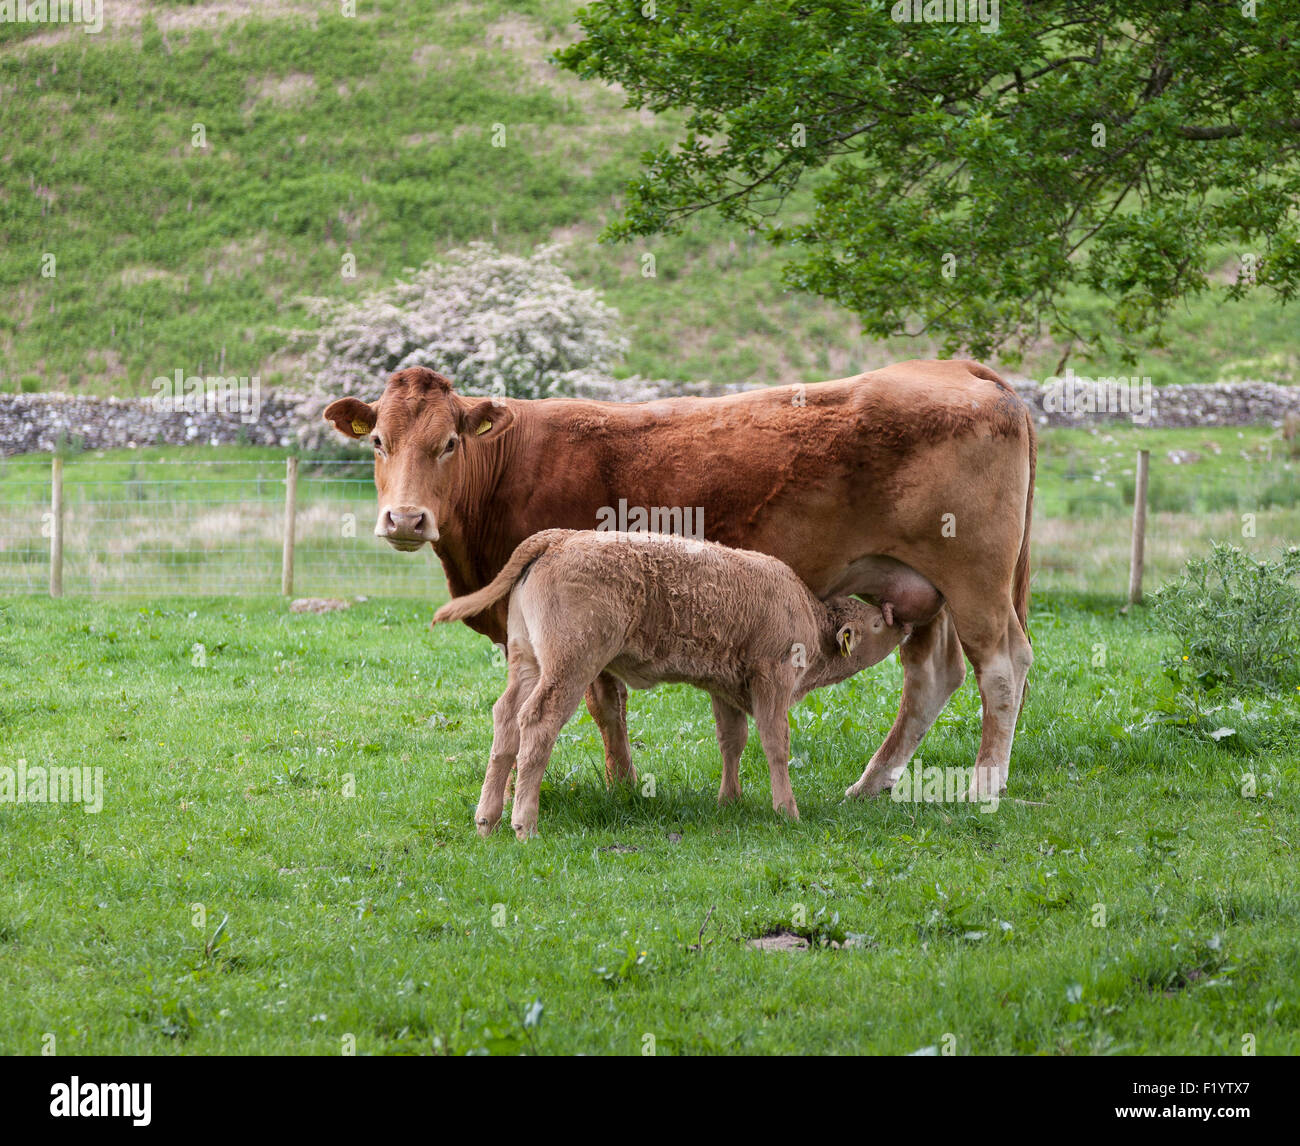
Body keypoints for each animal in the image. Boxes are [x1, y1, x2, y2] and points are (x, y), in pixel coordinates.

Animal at [324, 359, 1035, 801]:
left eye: (449, 442)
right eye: (379, 441)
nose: (405, 518)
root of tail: (952, 367)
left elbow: (602, 702)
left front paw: (621, 785)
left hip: (974, 580)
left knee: (1002, 665)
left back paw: (984, 786)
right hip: (917, 589)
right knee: (932, 678)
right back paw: (869, 784)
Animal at [431, 528, 911, 837]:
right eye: (875, 622)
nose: (904, 622)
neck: (807, 613)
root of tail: (558, 538)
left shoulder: (726, 689)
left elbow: (732, 741)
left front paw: (729, 801)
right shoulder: (772, 681)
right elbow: (776, 744)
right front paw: (787, 811)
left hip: (527, 662)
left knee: (505, 719)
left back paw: (487, 820)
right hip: (570, 666)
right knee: (537, 722)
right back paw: (524, 824)